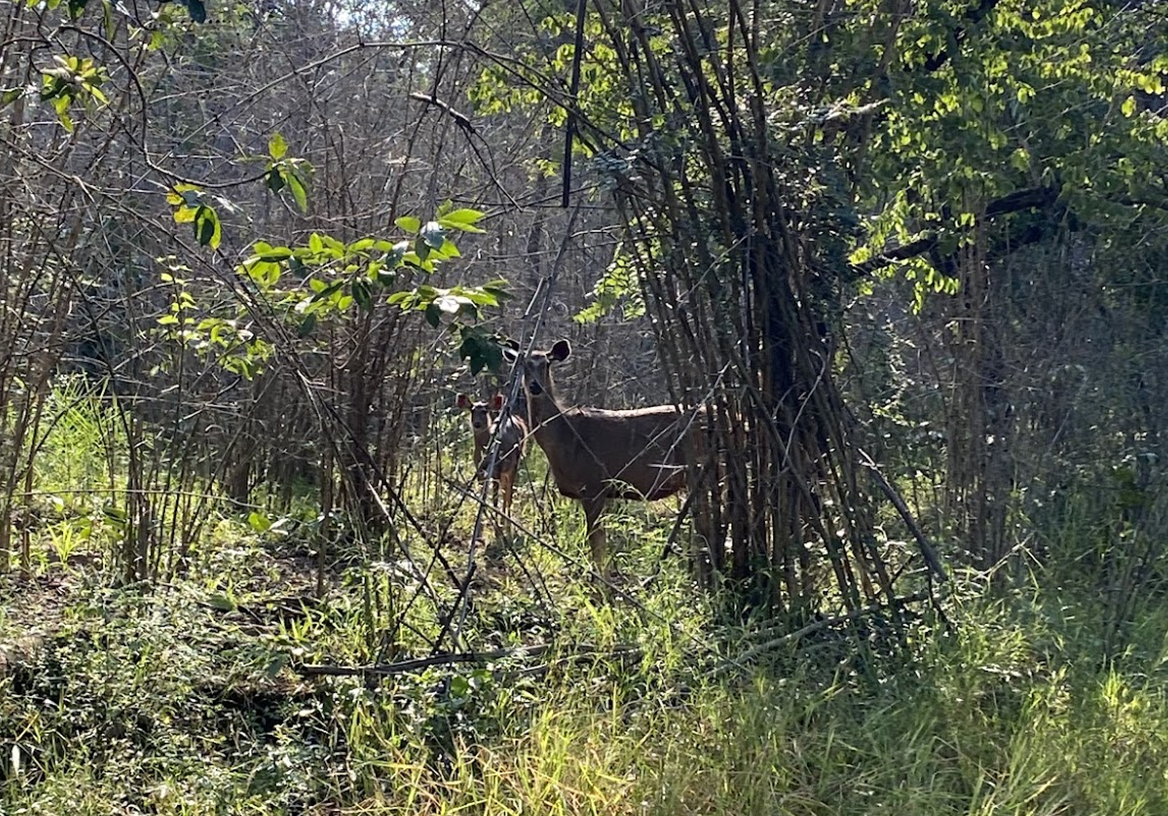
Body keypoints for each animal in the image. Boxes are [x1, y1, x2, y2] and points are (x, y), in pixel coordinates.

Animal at [455, 392, 530, 527]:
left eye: (484, 411)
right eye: (472, 410)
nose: (477, 424)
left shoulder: (496, 470)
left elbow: (495, 500)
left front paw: (495, 522)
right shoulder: (479, 471)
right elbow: (482, 496)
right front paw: (483, 519)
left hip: (514, 463)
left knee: (508, 493)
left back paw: (506, 521)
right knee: (505, 490)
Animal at [502, 340, 700, 576]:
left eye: (546, 364)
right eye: (523, 364)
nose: (535, 386)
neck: (565, 438)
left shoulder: (594, 485)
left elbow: (598, 547)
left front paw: (601, 584)